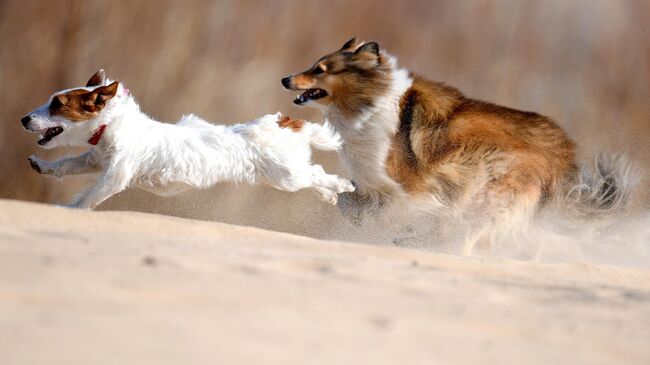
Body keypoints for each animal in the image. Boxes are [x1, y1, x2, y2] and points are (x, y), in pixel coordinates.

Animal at [20, 69, 352, 209]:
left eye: (58, 104)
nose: (24, 119)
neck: (112, 125)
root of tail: (283, 123)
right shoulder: (95, 158)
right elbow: (66, 164)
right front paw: (42, 166)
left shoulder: (115, 175)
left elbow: (88, 196)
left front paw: (69, 210)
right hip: (284, 176)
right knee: (314, 176)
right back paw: (329, 195)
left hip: (286, 175)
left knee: (317, 174)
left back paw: (342, 186)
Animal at [280, 37, 636, 253]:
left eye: (320, 69)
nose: (285, 79)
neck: (369, 104)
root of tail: (563, 157)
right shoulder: (375, 182)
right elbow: (349, 200)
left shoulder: (416, 185)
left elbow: (394, 211)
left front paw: (388, 225)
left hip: (487, 185)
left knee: (469, 233)